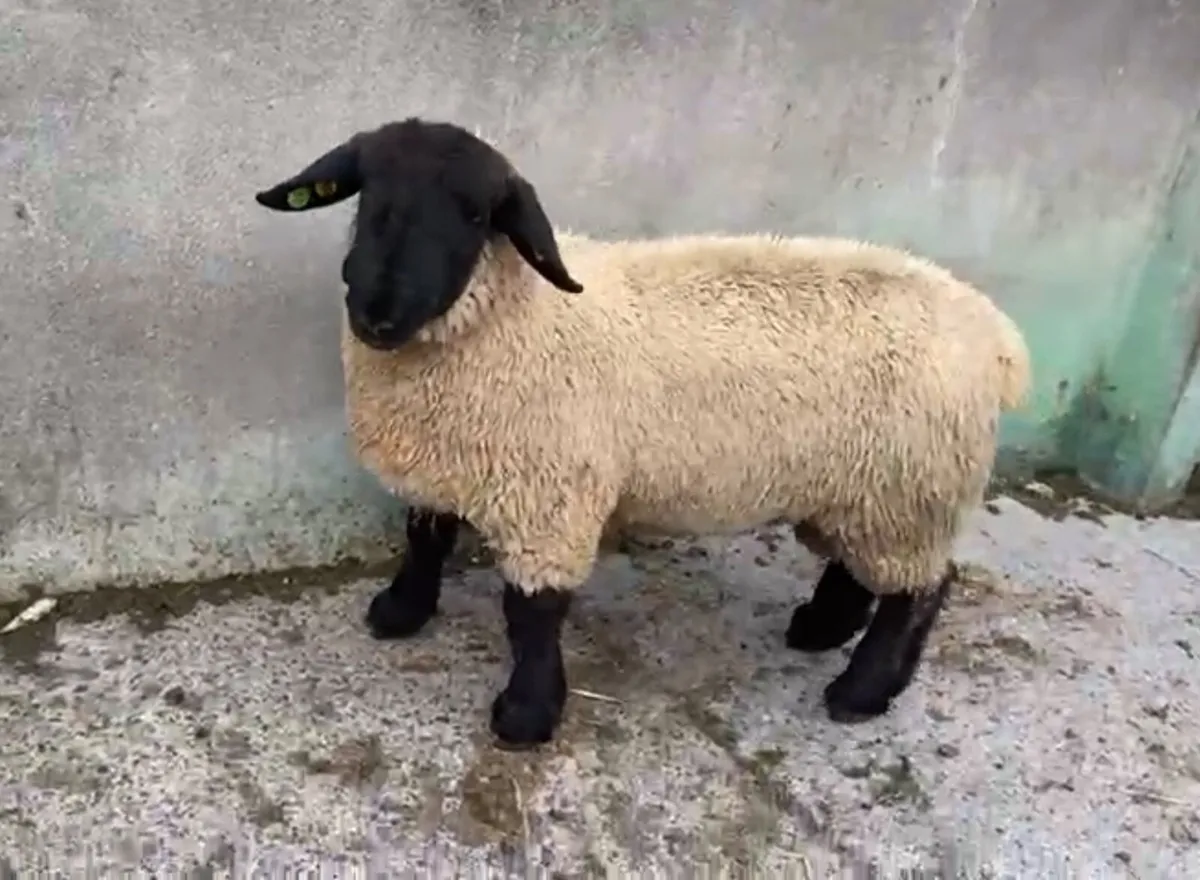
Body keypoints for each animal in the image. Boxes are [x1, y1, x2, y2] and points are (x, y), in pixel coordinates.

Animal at [252, 116, 1032, 750]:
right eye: (366, 195)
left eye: (475, 213)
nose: (376, 312)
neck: (514, 314)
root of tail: (997, 333)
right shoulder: (447, 466)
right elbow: (424, 543)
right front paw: (400, 613)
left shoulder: (550, 496)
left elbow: (530, 612)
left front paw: (526, 716)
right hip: (863, 487)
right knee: (859, 569)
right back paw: (819, 630)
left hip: (911, 486)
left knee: (922, 589)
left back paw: (861, 693)